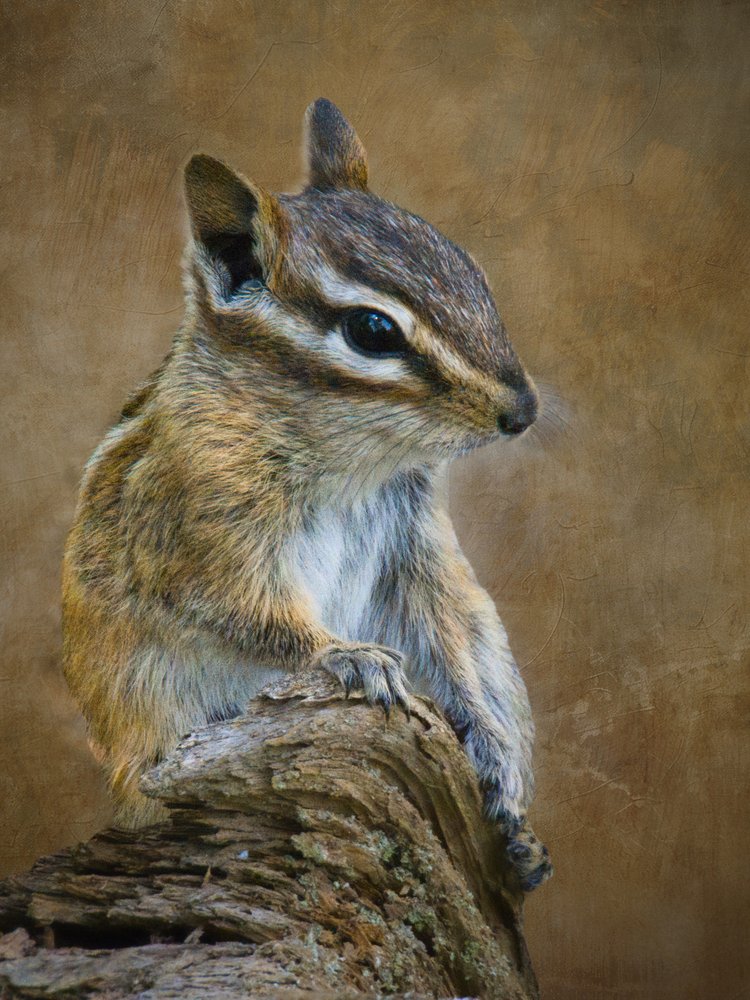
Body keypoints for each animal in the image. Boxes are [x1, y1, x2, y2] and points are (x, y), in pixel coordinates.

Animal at [63, 99, 551, 891]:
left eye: (471, 270)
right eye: (373, 329)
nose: (523, 411)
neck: (355, 462)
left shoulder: (417, 550)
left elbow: (451, 635)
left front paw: (500, 766)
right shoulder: (202, 517)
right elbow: (243, 608)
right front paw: (347, 657)